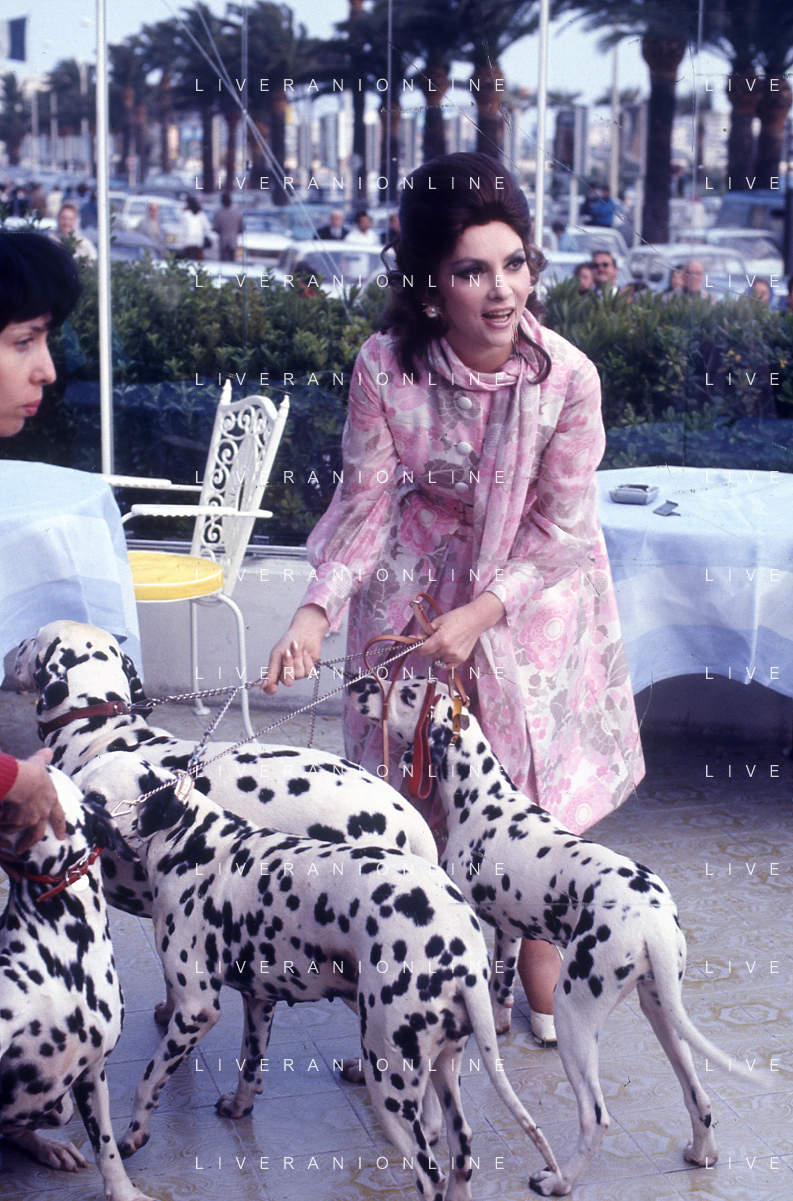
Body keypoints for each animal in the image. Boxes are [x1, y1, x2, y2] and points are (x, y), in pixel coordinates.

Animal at [0, 768, 152, 1201]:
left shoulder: (92, 1074)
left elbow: (108, 1150)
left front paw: (124, 1192)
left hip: (59, 1104)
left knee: (15, 1130)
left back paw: (50, 1149)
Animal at [76, 751, 561, 1201]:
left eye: (96, 799)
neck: (190, 842)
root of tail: (461, 950)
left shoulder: (196, 1010)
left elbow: (148, 1079)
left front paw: (134, 1134)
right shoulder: (259, 1001)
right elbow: (249, 1066)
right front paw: (239, 1105)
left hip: (390, 1084)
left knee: (431, 1176)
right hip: (442, 1069)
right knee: (461, 1153)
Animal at [351, 677, 763, 1196]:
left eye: (406, 692)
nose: (359, 686)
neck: (483, 798)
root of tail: (651, 919)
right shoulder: (508, 932)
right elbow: (500, 992)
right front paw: (499, 1025)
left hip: (574, 1016)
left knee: (596, 1117)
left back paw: (559, 1180)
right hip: (662, 1013)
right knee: (699, 1096)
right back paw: (701, 1152)